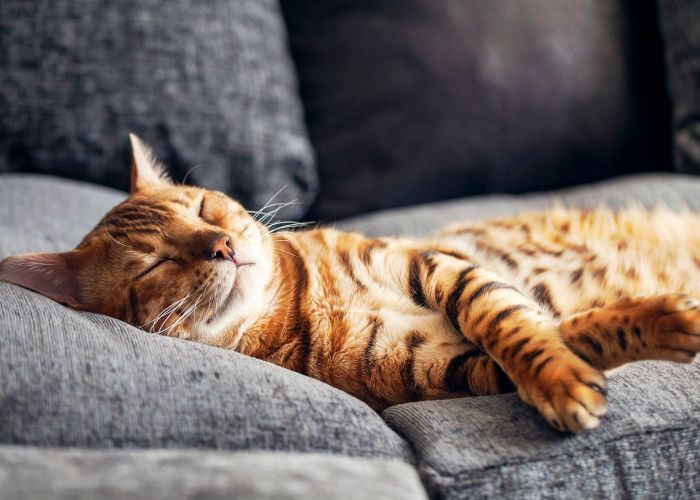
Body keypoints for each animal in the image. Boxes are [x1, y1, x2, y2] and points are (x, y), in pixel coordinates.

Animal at [1, 134, 700, 434]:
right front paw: (572, 374)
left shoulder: (439, 265)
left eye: (202, 207)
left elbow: (510, 320)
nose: (223, 245)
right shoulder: (447, 370)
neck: (304, 302)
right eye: (155, 264)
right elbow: (550, 336)